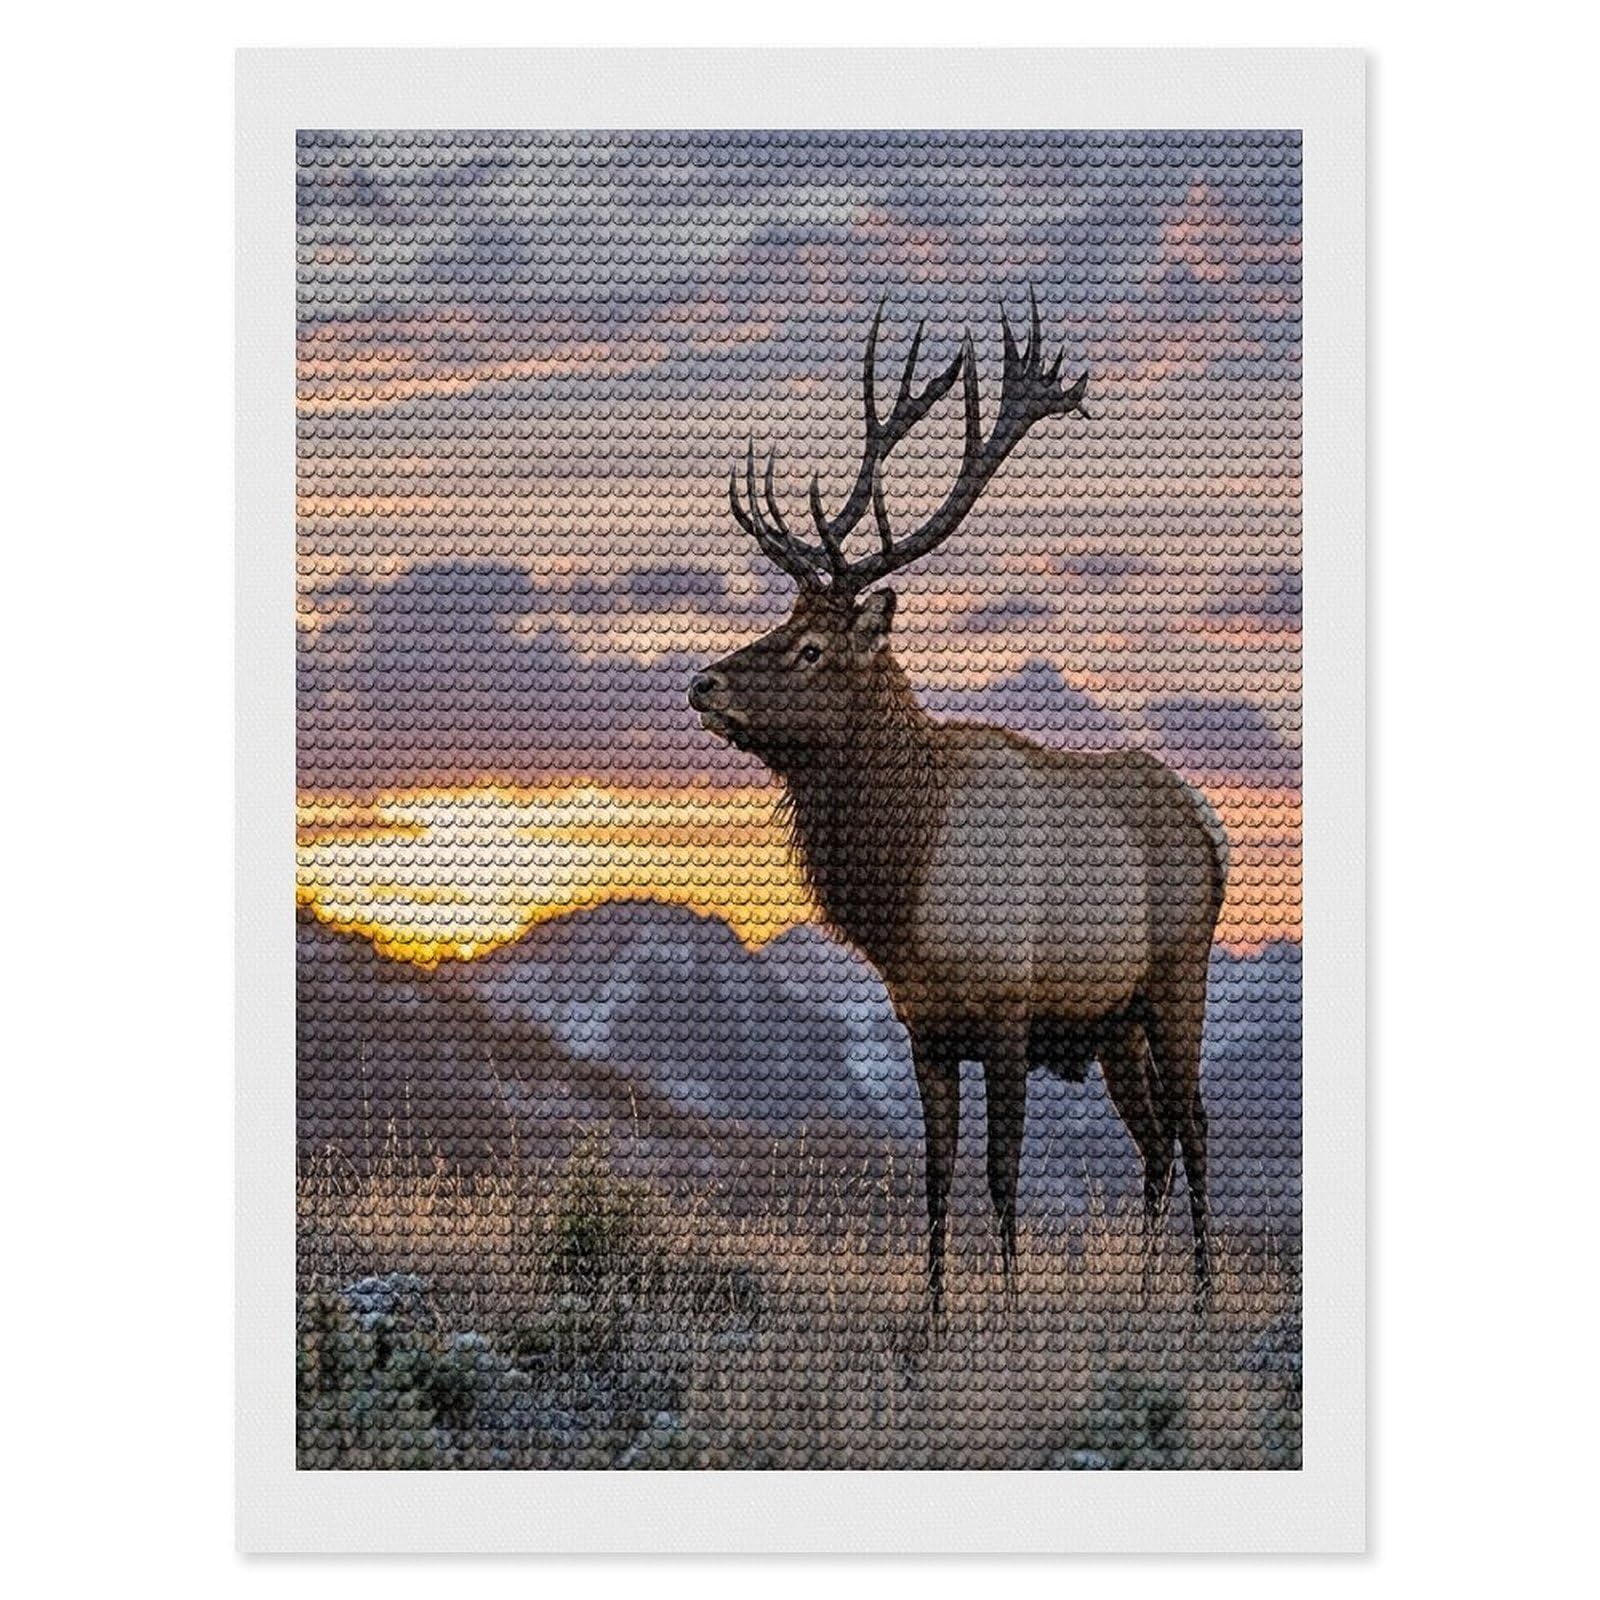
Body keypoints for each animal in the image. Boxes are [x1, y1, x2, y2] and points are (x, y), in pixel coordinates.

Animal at [687, 294, 1229, 1313]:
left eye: (812, 649)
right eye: (780, 623)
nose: (703, 683)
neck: (906, 892)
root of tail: (1210, 824)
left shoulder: (1010, 1009)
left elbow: (1001, 1173)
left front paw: (1008, 1316)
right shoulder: (927, 1030)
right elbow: (936, 1178)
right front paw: (933, 1317)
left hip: (1178, 977)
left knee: (1197, 1125)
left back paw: (1201, 1300)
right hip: (1114, 1023)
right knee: (1154, 1142)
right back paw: (1146, 1293)